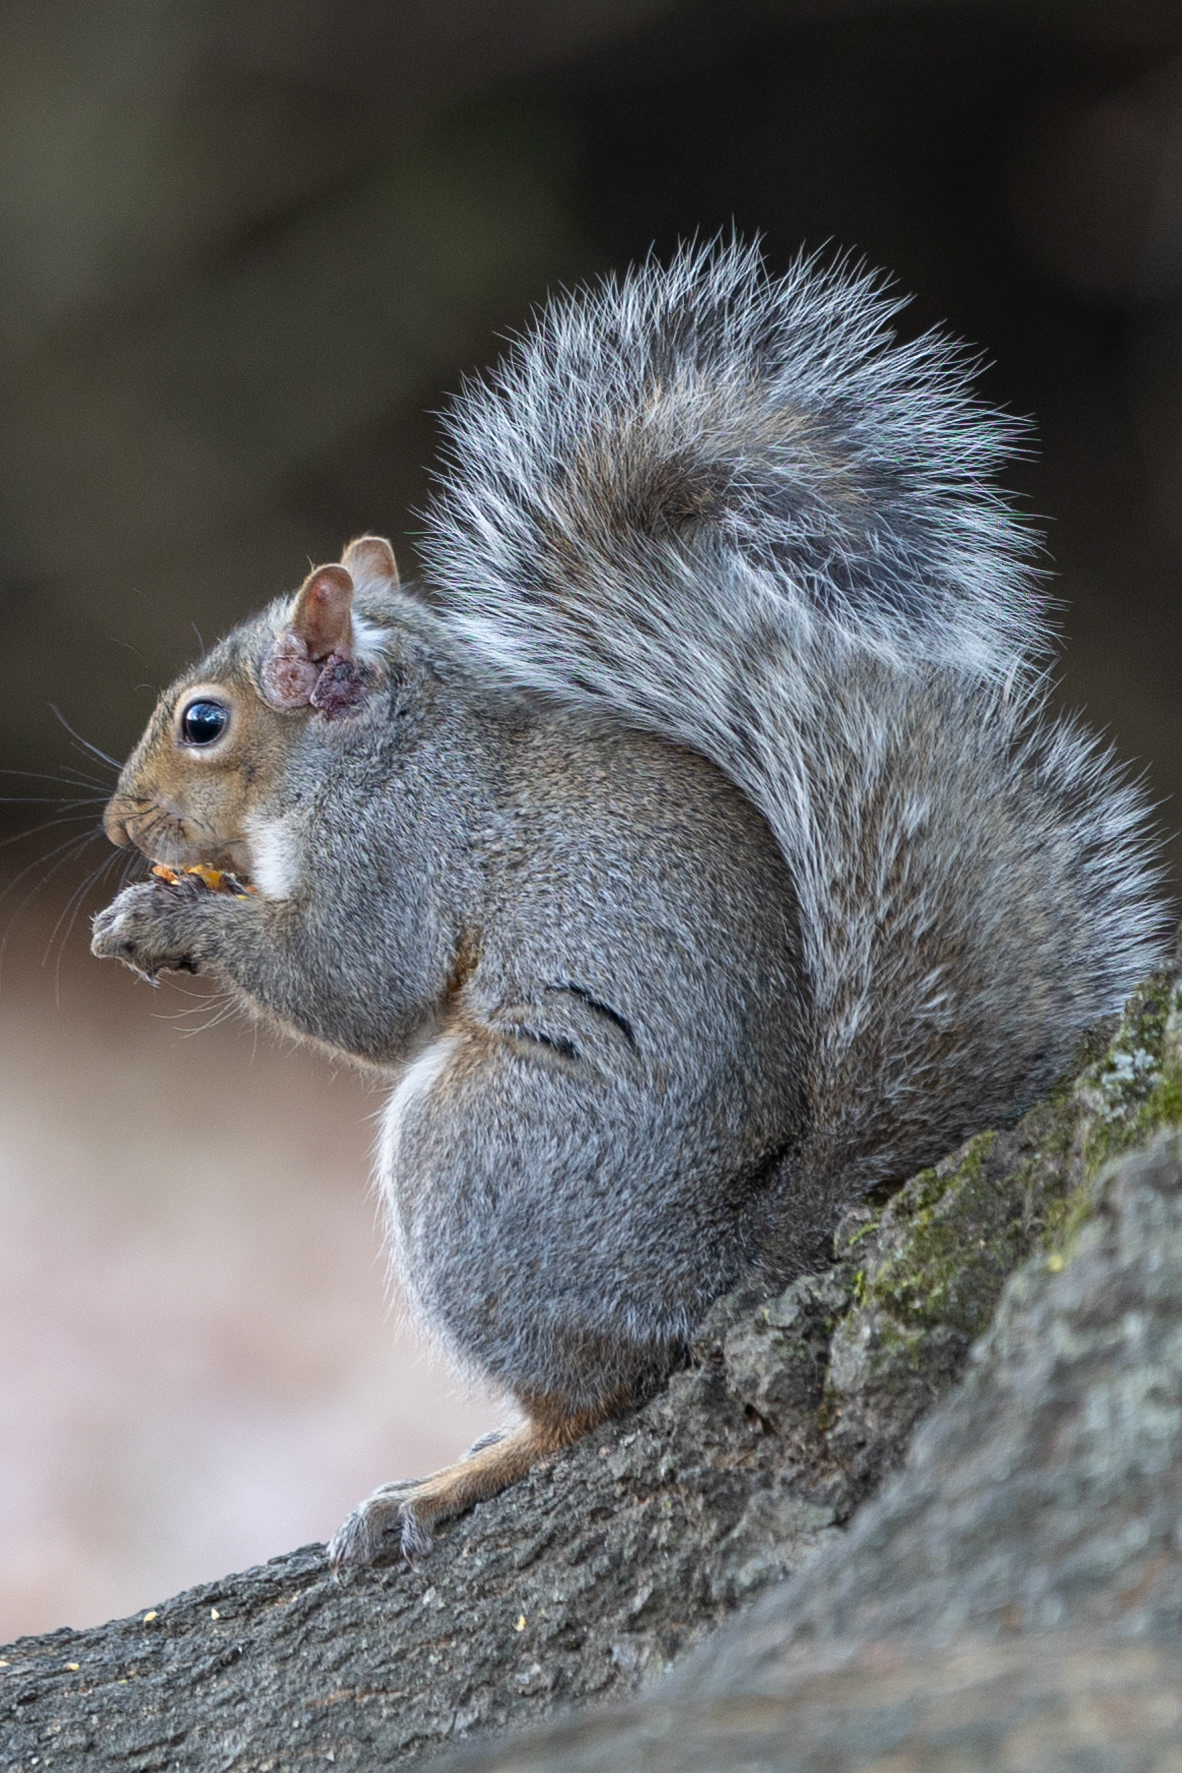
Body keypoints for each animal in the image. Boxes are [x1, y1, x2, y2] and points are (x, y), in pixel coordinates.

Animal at [91, 241, 1168, 1568]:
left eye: (204, 722)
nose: (118, 825)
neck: (385, 749)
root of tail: (711, 1270)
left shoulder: (403, 852)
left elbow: (359, 989)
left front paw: (169, 919)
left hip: (480, 1160)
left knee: (590, 1399)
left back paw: (450, 1479)